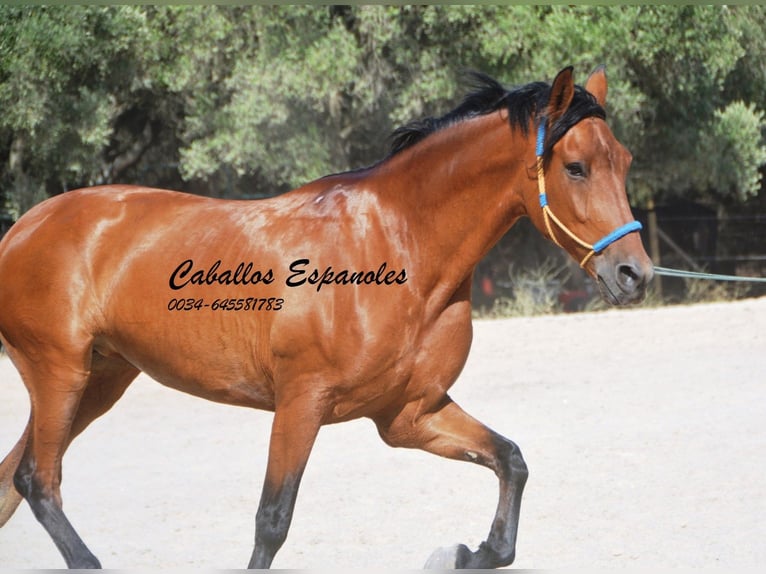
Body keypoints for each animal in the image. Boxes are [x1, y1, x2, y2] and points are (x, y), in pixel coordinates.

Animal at [0, 65, 656, 568]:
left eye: (625, 161)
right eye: (575, 166)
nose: (635, 274)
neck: (399, 250)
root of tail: (23, 228)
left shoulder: (408, 415)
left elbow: (510, 461)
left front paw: (468, 553)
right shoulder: (301, 403)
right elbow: (272, 520)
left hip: (100, 380)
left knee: (16, 479)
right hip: (59, 374)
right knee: (39, 481)